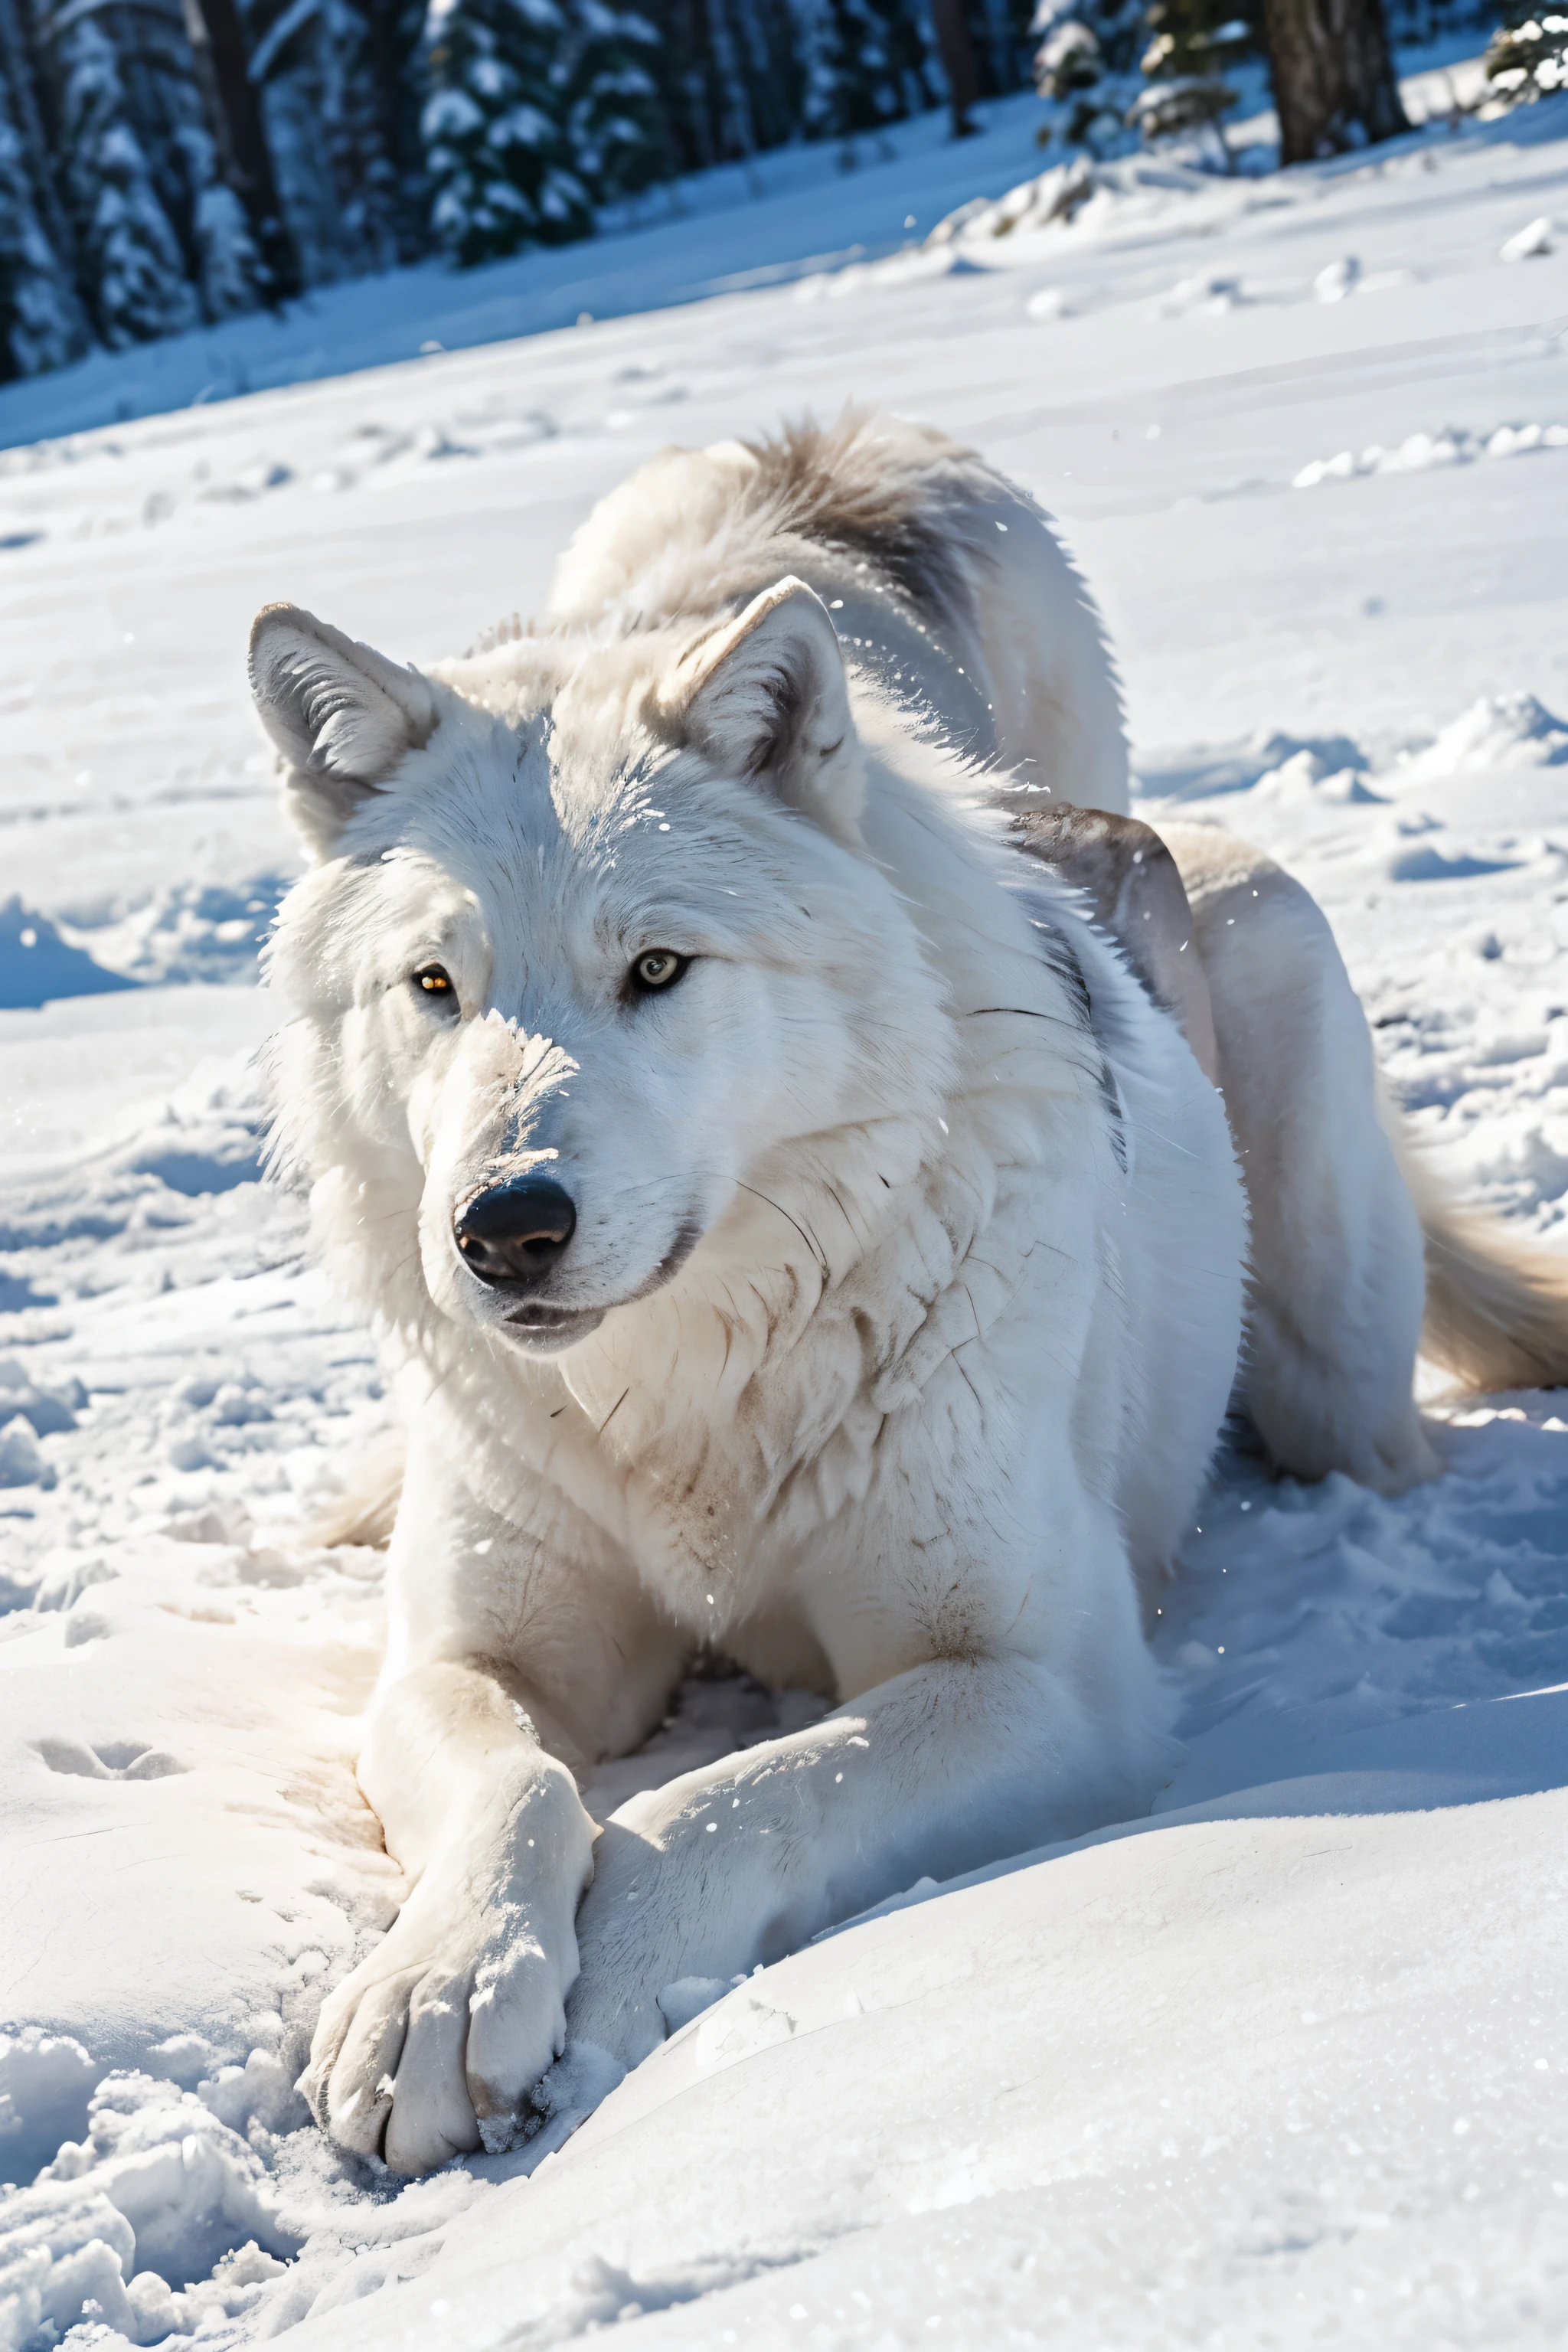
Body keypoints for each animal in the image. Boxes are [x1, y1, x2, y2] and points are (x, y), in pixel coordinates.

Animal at [251, 404, 1568, 2164]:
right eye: (434, 984)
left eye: (656, 968)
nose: (504, 1228)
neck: (690, 1396)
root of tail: (827, 447)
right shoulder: (462, 1662)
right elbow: (517, 1784)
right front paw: (439, 1984)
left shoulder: (1040, 1680)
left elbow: (721, 1798)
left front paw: (614, 2000)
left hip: (1326, 1373)